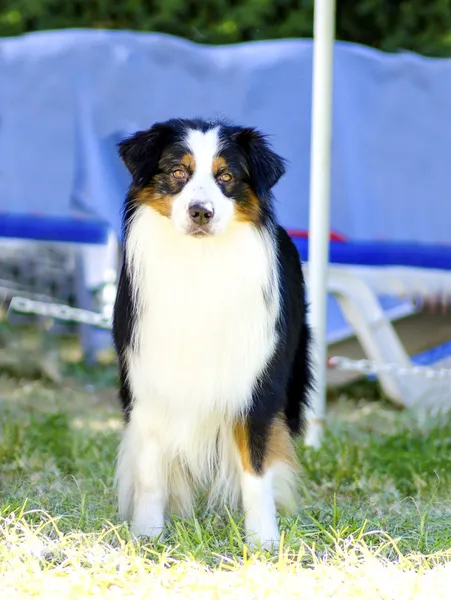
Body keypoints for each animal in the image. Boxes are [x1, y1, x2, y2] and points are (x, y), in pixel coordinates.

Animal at [112, 117, 314, 548]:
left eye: (226, 177)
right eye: (178, 172)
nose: (201, 212)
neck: (200, 263)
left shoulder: (255, 389)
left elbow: (256, 470)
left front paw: (263, 540)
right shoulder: (148, 382)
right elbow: (151, 473)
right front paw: (147, 535)